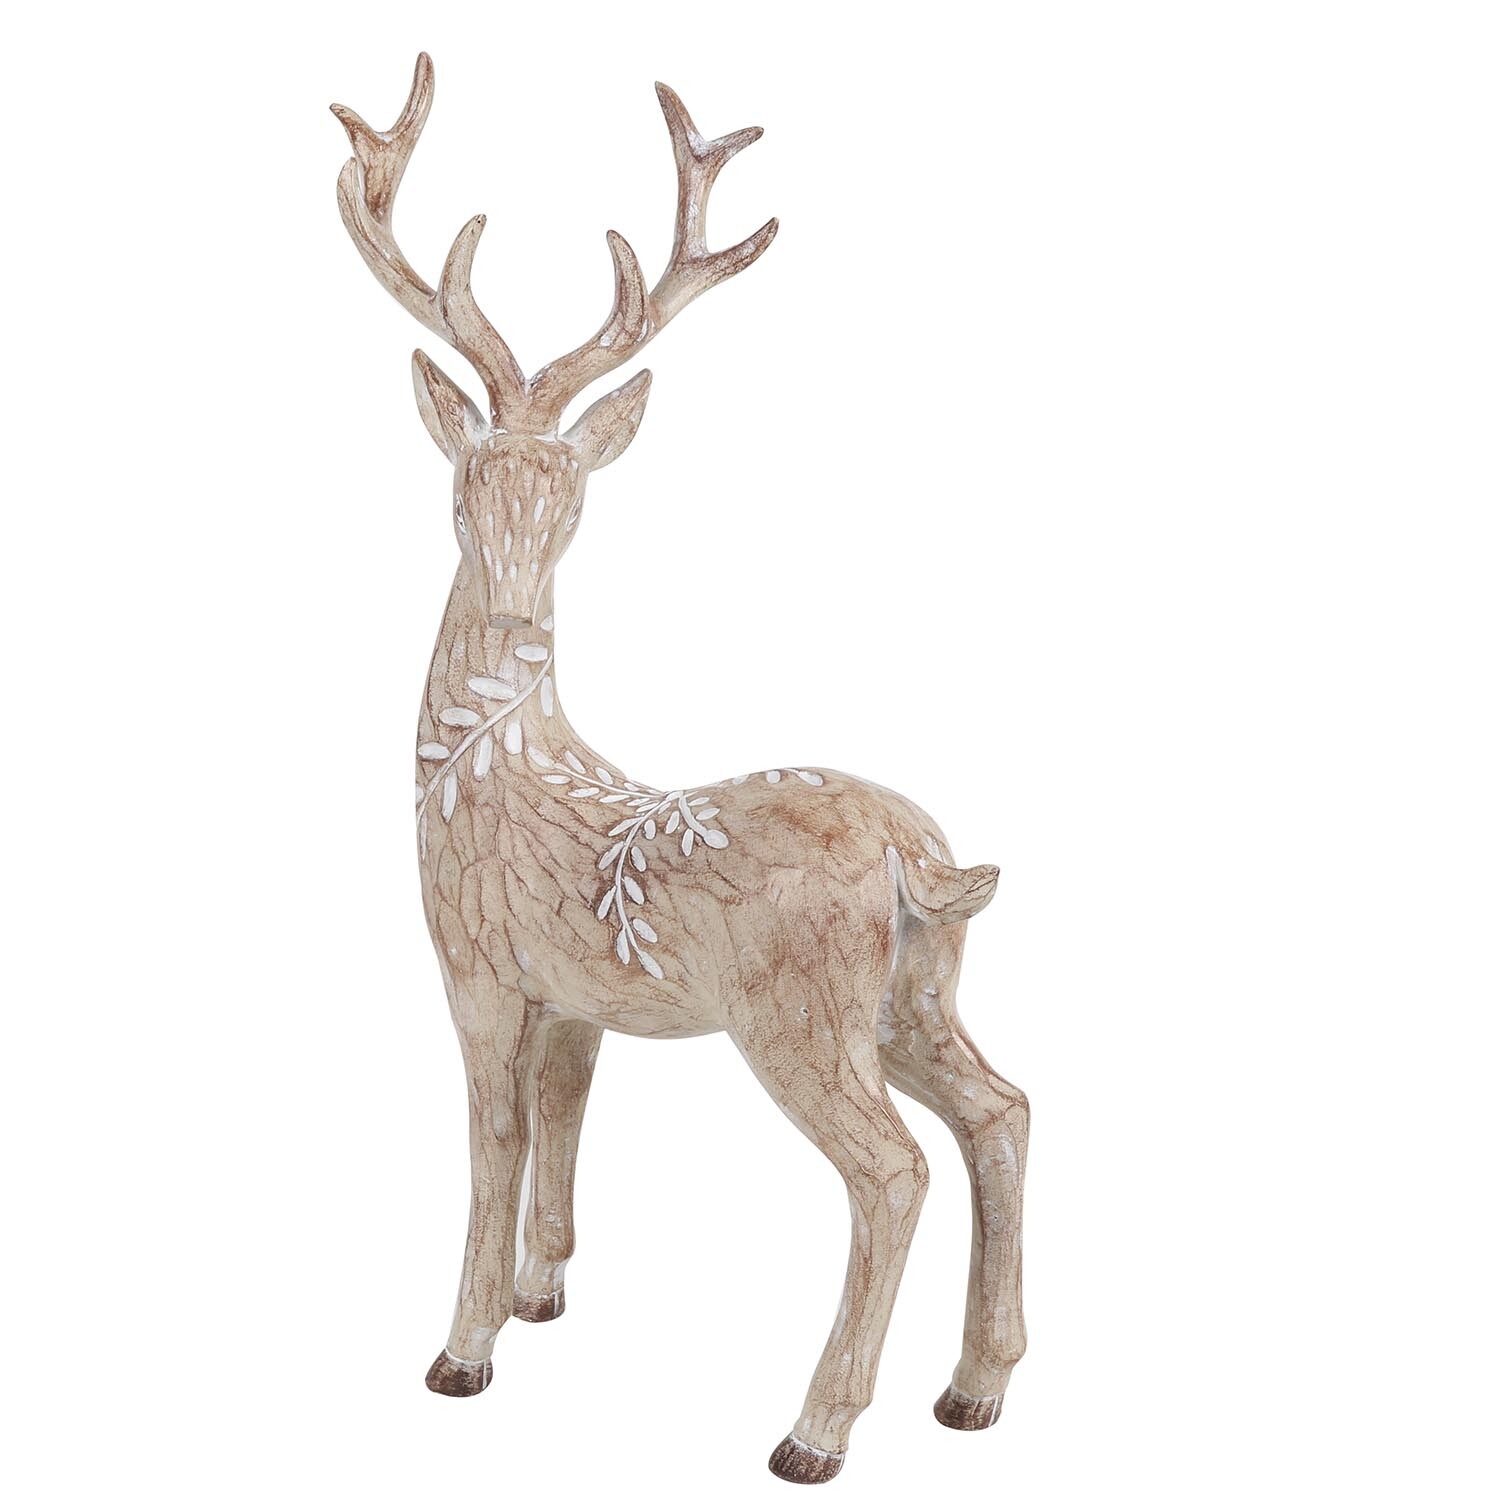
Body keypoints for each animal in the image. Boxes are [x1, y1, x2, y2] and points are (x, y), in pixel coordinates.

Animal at [332, 54, 1028, 1485]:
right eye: (467, 486)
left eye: (573, 495)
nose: (517, 602)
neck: (488, 769)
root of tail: (919, 859)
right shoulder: (575, 1001)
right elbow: (563, 1126)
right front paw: (543, 1294)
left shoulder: (477, 968)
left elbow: (492, 1143)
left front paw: (461, 1354)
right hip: (918, 993)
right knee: (1001, 1109)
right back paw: (976, 1390)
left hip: (799, 1011)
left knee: (893, 1170)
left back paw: (815, 1432)